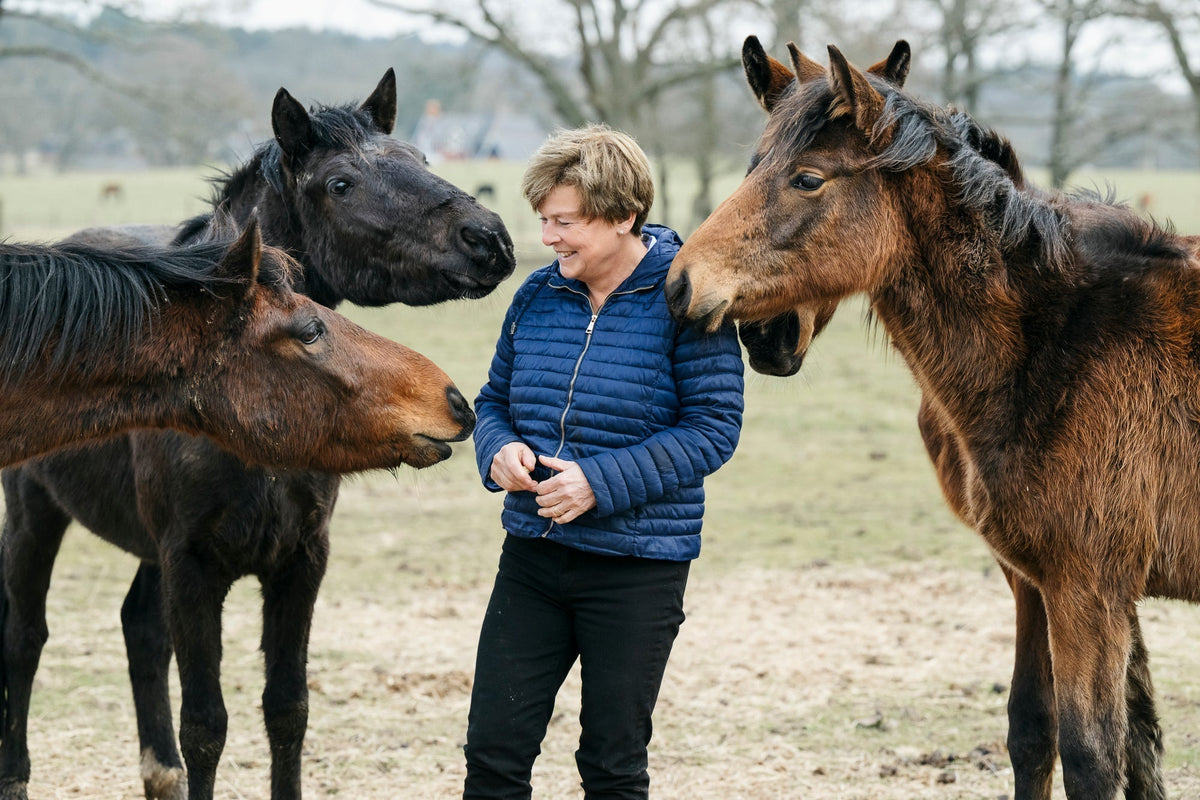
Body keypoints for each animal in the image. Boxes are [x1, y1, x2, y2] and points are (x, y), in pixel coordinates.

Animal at [666, 36, 1200, 800]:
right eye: (751, 166)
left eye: (807, 179)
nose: (682, 286)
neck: (1059, 339)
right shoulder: (1032, 579)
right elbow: (1036, 731)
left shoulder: (1088, 589)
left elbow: (1095, 755)